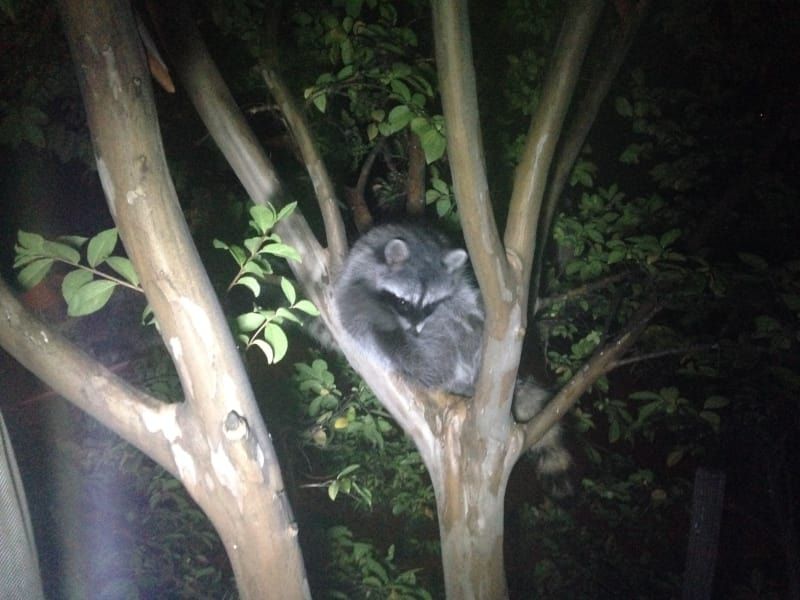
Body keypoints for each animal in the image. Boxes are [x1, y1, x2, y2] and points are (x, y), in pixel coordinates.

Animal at [333, 224, 571, 493]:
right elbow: (356, 314)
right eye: (404, 301)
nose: (415, 330)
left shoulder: (453, 290)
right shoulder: (357, 271)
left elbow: (463, 301)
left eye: (429, 304)